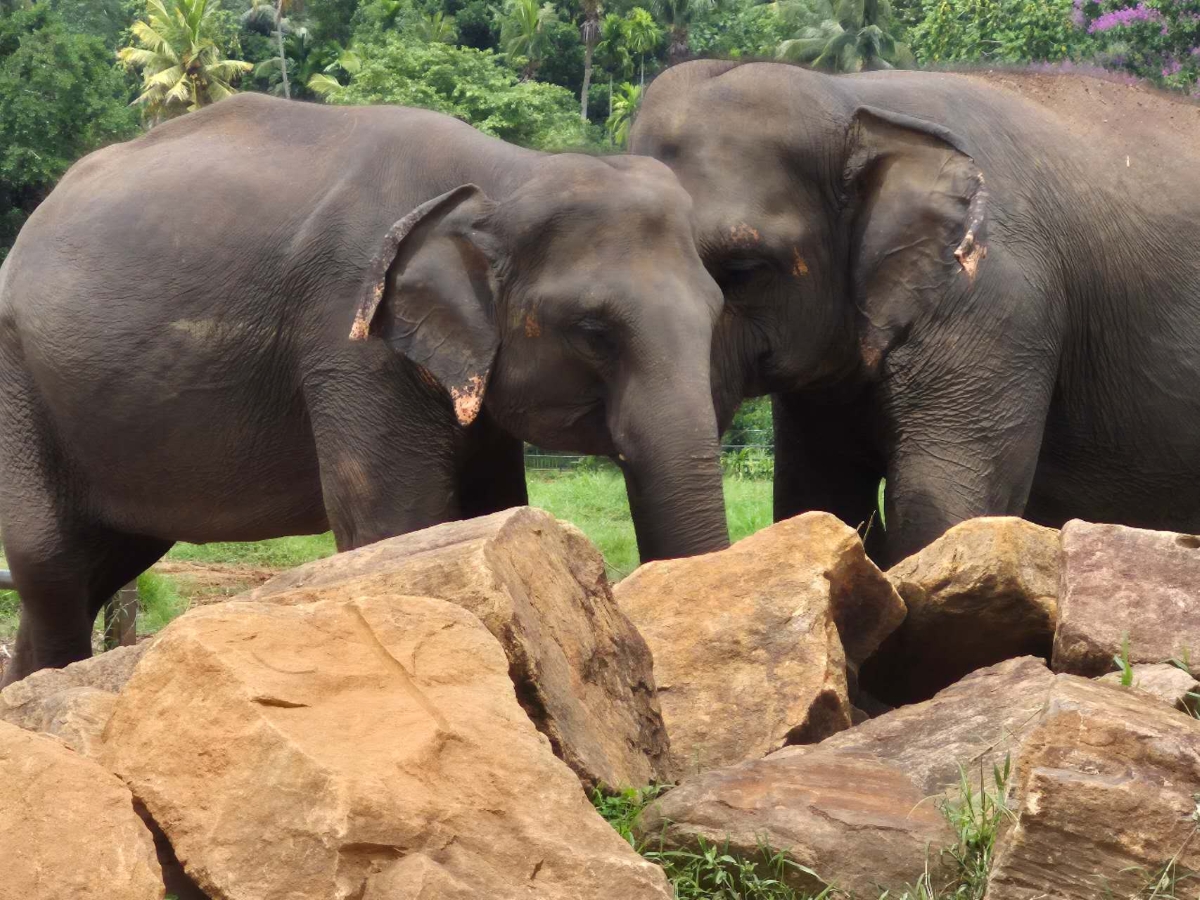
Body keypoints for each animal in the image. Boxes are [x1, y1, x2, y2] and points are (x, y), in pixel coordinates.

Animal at [0, 92, 728, 686]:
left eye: (718, 311)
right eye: (593, 330)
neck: (508, 174)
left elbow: (491, 507)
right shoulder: (350, 331)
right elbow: (392, 519)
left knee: (98, 566)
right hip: (17, 385)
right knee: (53, 567)